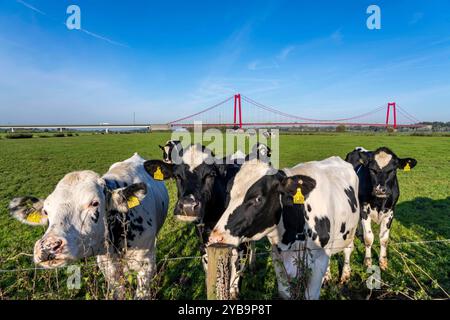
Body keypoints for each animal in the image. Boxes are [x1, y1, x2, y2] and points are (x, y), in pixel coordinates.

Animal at [209, 156, 360, 298]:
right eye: (228, 193)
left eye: (258, 198)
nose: (216, 237)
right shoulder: (278, 257)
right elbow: (284, 292)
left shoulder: (318, 262)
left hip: (350, 232)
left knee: (348, 250)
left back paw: (345, 276)